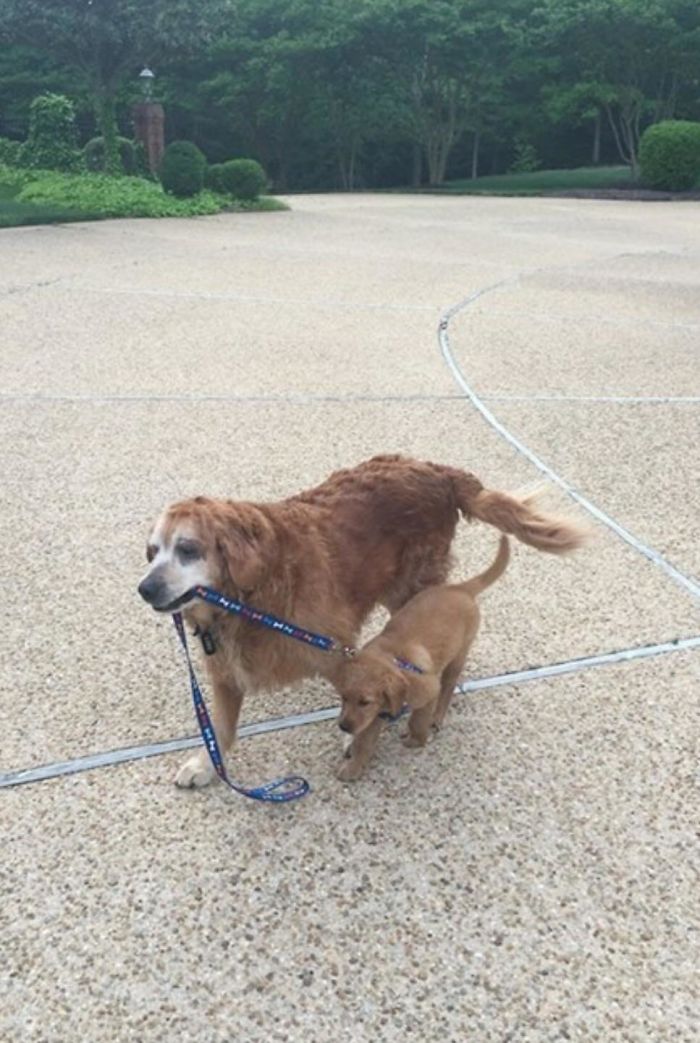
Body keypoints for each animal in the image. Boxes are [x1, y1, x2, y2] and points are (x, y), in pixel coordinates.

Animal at [331, 538, 509, 784]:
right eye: (343, 698)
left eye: (364, 701)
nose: (344, 726)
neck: (394, 661)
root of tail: (460, 588)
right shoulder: (375, 715)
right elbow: (364, 742)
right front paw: (353, 768)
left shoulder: (427, 690)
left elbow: (418, 719)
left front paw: (416, 740)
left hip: (458, 656)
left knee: (448, 689)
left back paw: (436, 718)